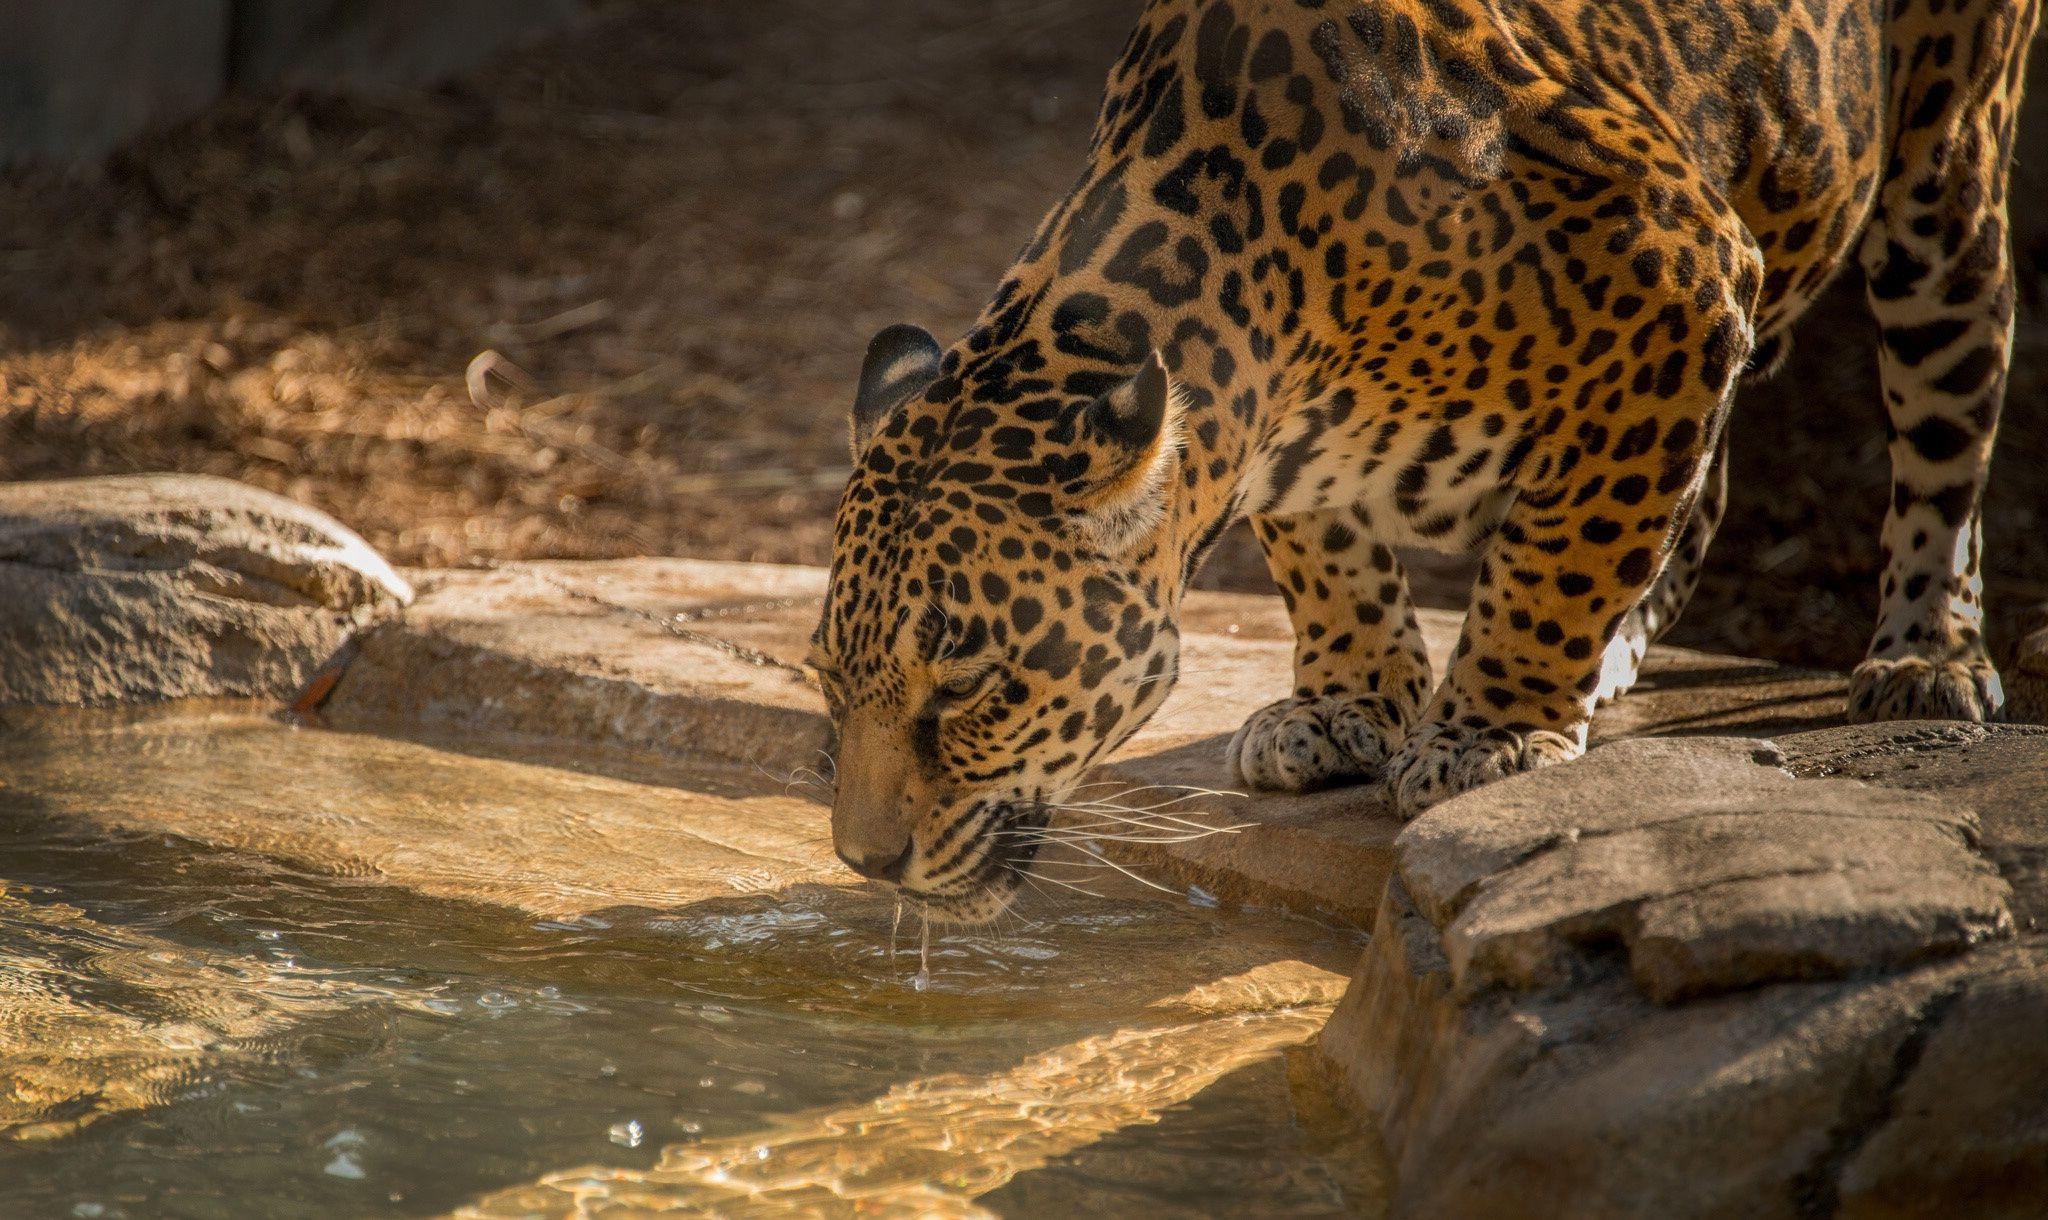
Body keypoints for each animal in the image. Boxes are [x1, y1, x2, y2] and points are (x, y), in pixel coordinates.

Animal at [807, 0, 2038, 922]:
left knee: (1943, 429)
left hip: (1945, 180)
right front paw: (1345, 703)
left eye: (968, 685)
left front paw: (1490, 733)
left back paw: (1925, 653)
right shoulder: (1275, 433)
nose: (864, 862)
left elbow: (1564, 551)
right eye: (827, 678)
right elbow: (1325, 549)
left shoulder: (1681, 277)